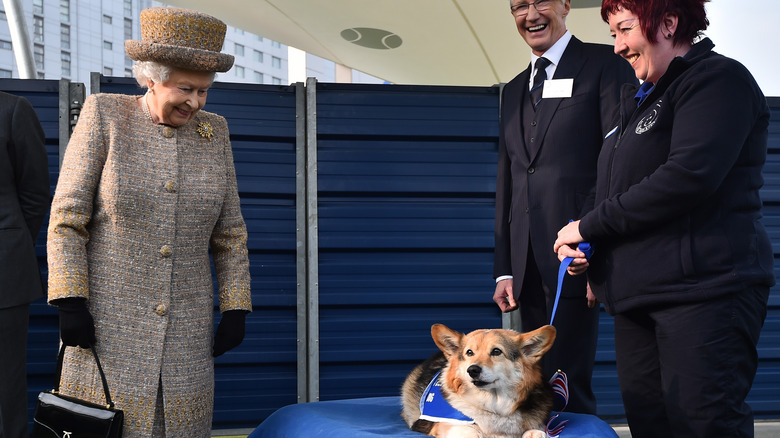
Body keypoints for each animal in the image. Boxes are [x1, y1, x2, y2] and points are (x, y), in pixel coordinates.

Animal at [402, 324, 556, 436]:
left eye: (496, 351)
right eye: (469, 352)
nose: (472, 370)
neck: (494, 405)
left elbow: (537, 432)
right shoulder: (443, 424)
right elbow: (473, 433)